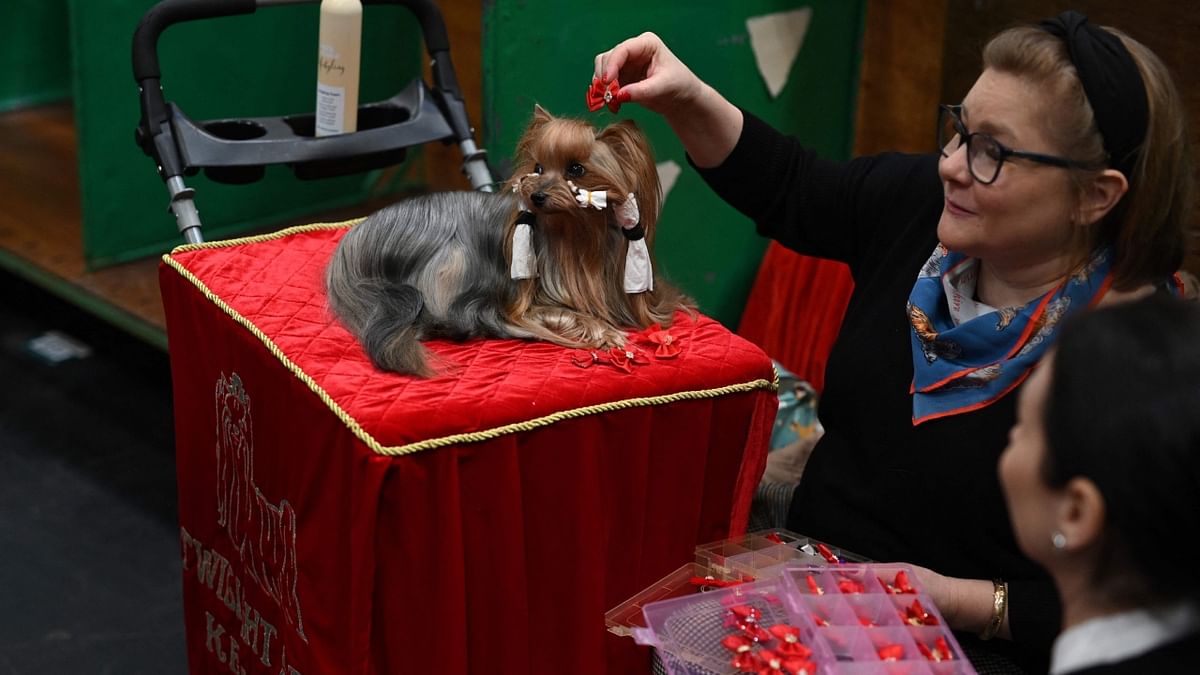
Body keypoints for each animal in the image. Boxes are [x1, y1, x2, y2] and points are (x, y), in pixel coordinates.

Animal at [324, 107, 691, 374]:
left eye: (576, 169)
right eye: (539, 167)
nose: (537, 195)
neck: (577, 234)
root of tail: (352, 244)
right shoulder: (524, 303)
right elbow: (566, 314)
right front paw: (607, 332)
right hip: (450, 260)